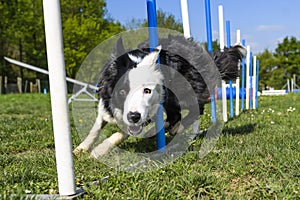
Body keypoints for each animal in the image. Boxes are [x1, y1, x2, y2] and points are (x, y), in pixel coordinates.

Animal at [73, 34, 246, 158]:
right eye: (122, 91)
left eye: (147, 91)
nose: (134, 116)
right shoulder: (105, 105)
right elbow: (95, 129)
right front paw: (81, 148)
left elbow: (119, 134)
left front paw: (99, 150)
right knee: (176, 114)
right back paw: (162, 129)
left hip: (180, 92)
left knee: (196, 108)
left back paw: (175, 128)